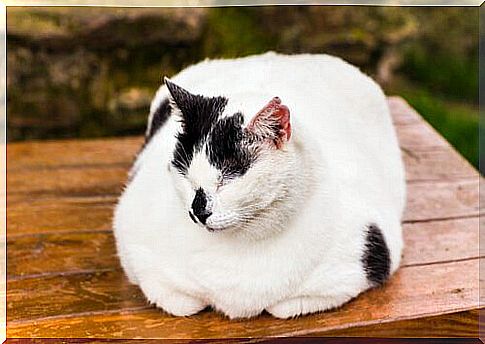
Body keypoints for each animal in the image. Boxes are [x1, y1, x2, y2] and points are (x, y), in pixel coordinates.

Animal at [113, 51, 404, 320]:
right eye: (186, 175)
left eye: (227, 177)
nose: (198, 211)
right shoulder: (133, 244)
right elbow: (180, 301)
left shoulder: (355, 263)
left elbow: (284, 307)